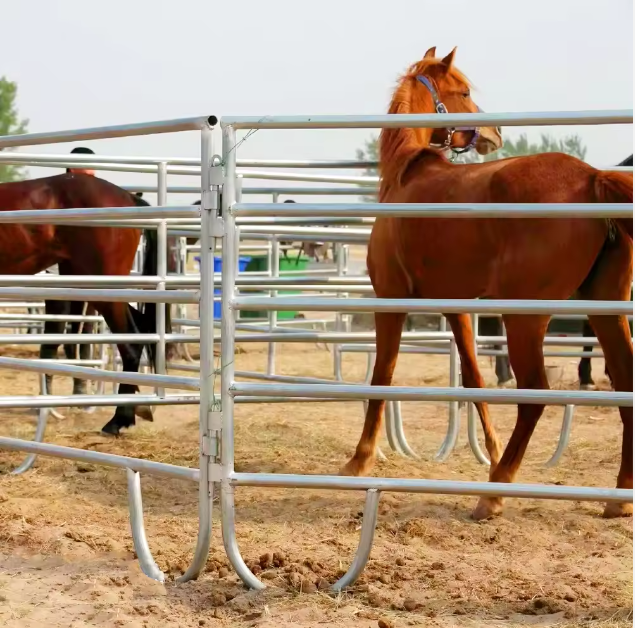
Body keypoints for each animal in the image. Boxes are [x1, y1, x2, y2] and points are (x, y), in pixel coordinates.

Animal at [342, 47, 635, 520]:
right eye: (463, 92)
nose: (495, 132)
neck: (407, 176)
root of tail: (592, 178)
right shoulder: (456, 306)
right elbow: (475, 380)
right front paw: (492, 451)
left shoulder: (390, 300)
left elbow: (382, 376)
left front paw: (359, 459)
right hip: (603, 307)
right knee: (624, 382)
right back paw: (618, 496)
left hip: (525, 318)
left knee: (535, 394)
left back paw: (494, 493)